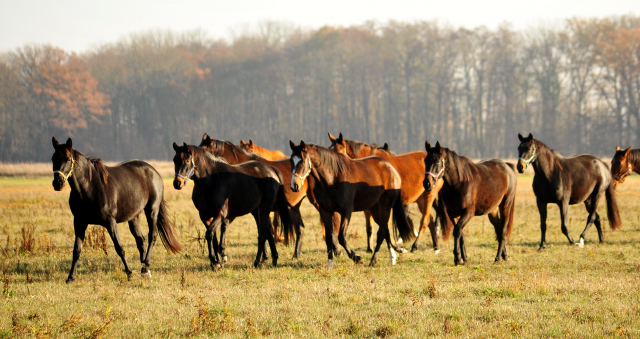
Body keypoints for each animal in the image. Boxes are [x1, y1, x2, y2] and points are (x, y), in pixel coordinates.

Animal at [51, 137, 182, 282]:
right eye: (53, 158)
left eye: (68, 159)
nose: (57, 183)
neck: (89, 188)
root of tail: (154, 172)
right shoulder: (79, 221)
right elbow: (76, 250)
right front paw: (70, 277)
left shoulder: (110, 222)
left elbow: (119, 248)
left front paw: (129, 273)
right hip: (134, 217)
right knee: (141, 240)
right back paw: (144, 269)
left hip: (152, 211)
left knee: (152, 236)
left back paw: (146, 265)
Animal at [288, 140, 416, 268]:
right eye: (291, 161)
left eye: (303, 161)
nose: (294, 186)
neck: (332, 178)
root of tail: (391, 169)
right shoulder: (325, 211)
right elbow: (329, 237)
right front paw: (330, 262)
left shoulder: (346, 211)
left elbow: (341, 237)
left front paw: (358, 258)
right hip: (375, 209)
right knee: (385, 229)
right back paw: (394, 254)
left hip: (385, 206)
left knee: (381, 232)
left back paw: (373, 260)